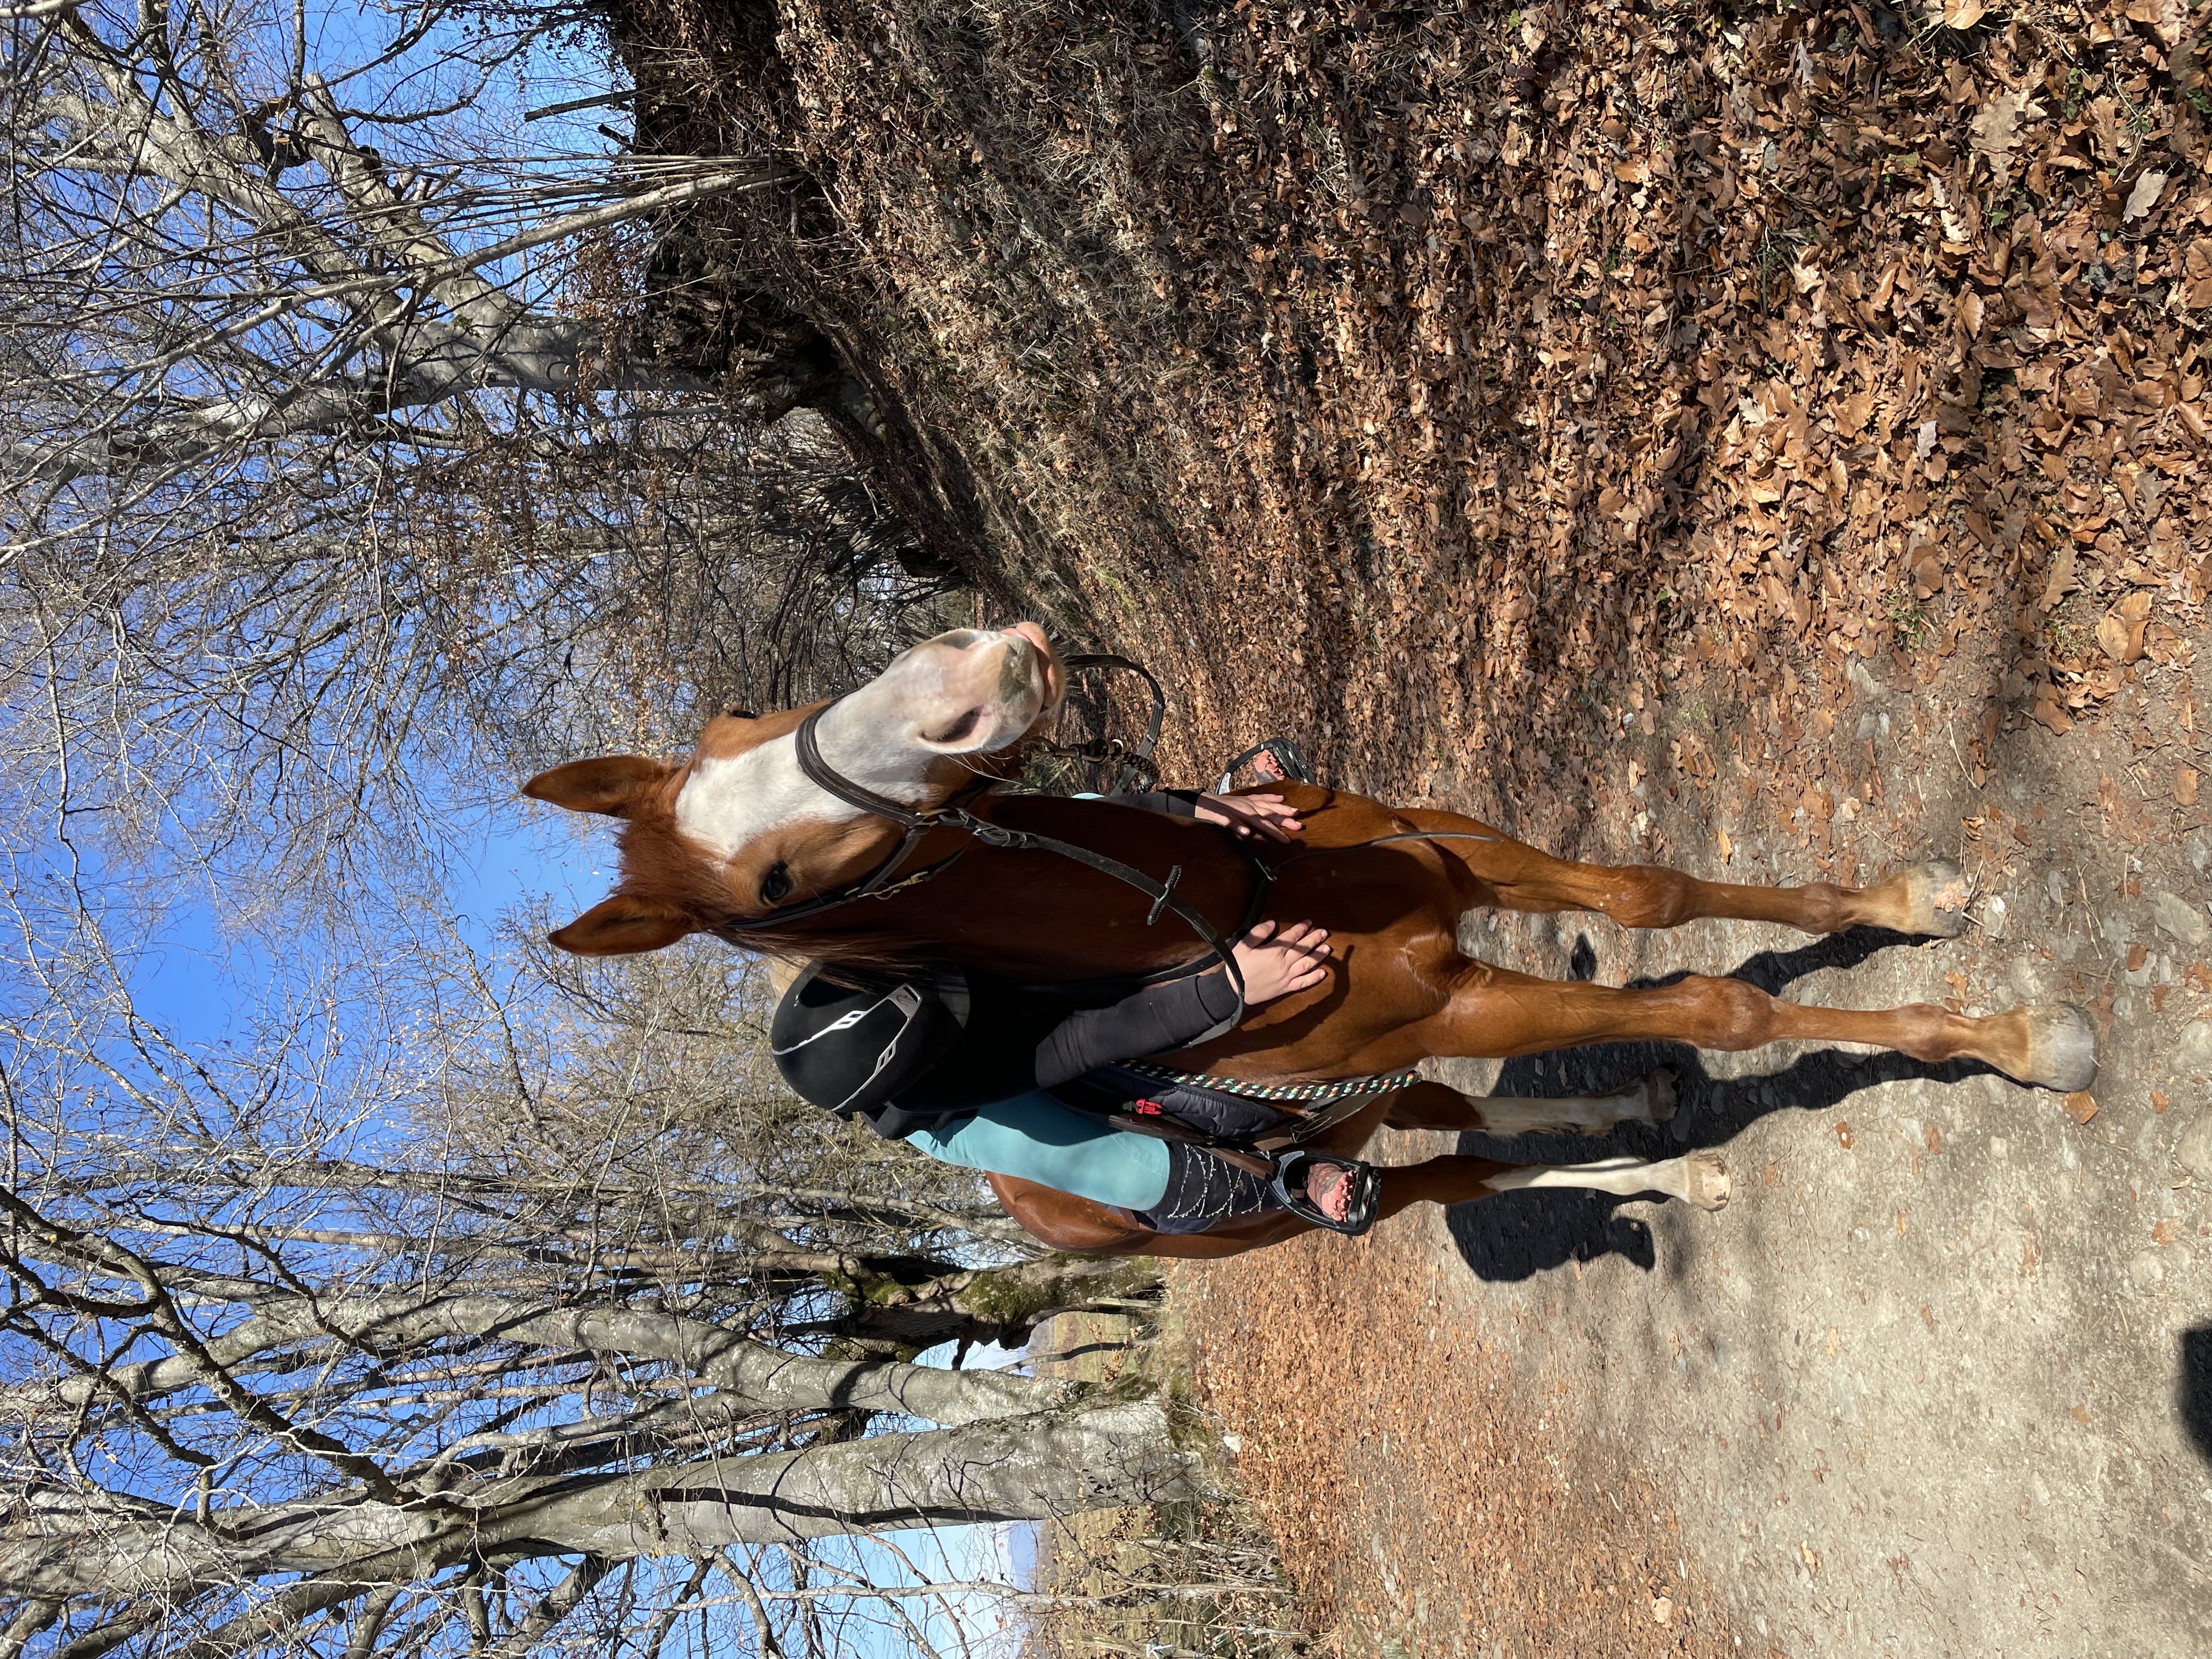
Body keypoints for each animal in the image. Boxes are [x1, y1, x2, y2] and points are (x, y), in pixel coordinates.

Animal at [523, 623, 2097, 1258]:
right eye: (778, 881)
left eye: (740, 715)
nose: (970, 663)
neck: (1216, 902)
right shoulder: (1470, 999)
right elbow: (1725, 1006)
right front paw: (2013, 1041)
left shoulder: (1455, 850)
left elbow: (1651, 897)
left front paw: (1905, 907)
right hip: (1324, 1196)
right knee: (1456, 1170)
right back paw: (1665, 1155)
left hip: (1369, 1103)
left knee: (1459, 1125)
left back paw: (1636, 1126)